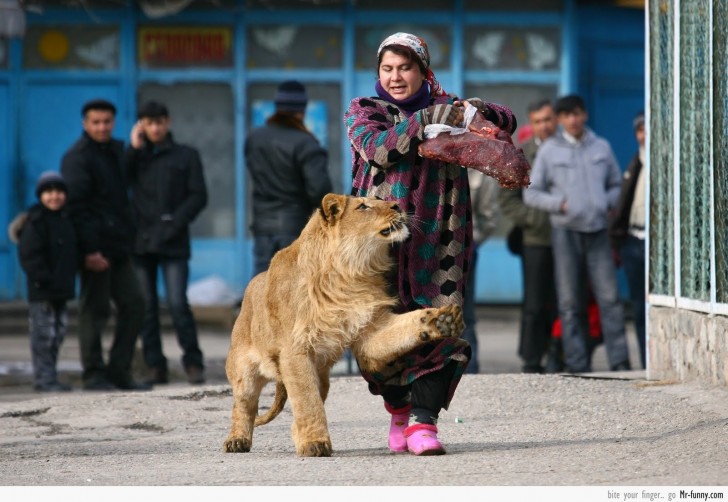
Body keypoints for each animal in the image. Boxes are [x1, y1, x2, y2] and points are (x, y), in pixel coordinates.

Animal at [222, 193, 464, 458]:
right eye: (363, 206)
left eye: (378, 199)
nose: (398, 205)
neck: (350, 272)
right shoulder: (295, 351)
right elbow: (307, 401)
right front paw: (315, 443)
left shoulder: (370, 328)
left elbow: (404, 327)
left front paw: (440, 321)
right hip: (244, 371)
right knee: (243, 406)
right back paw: (237, 440)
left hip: (321, 377)